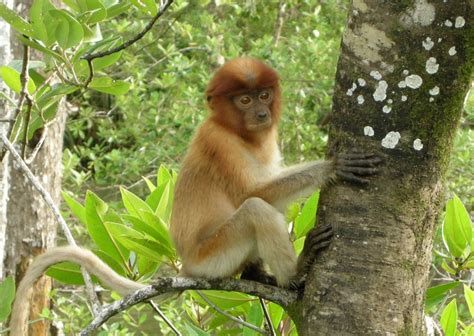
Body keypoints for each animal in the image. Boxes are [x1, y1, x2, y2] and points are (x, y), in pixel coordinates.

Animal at [8, 56, 378, 334]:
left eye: (263, 95)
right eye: (244, 99)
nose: (261, 114)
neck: (236, 130)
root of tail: (186, 264)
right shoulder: (219, 140)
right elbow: (255, 193)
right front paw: (334, 167)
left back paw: (256, 274)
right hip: (213, 257)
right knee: (255, 209)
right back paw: (294, 274)